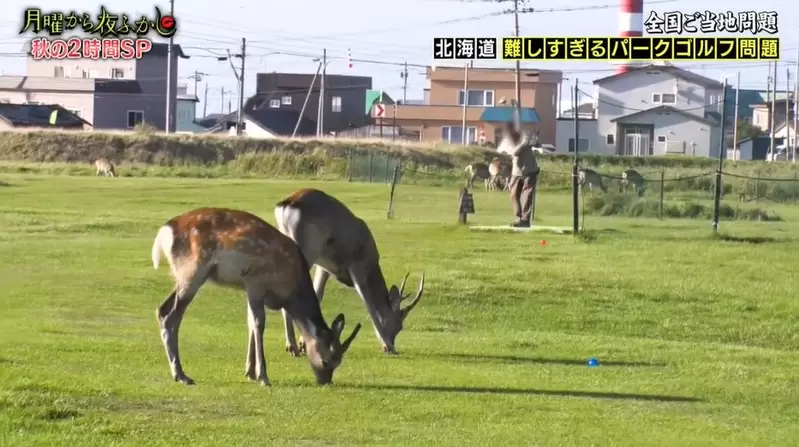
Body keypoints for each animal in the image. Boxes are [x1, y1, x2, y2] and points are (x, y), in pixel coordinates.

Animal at [150, 207, 362, 386]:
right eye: (327, 361)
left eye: (339, 362)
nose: (325, 381)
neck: (289, 289)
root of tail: (164, 232)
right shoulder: (255, 281)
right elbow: (259, 324)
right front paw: (263, 377)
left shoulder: (249, 288)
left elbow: (250, 323)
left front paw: (250, 372)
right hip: (193, 271)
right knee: (170, 314)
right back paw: (181, 375)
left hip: (184, 276)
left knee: (165, 311)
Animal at [274, 188, 424, 356]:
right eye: (399, 325)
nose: (392, 344)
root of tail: (287, 203)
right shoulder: (357, 267)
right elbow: (369, 304)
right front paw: (387, 345)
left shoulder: (324, 267)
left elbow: (318, 294)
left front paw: (304, 344)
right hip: (307, 249)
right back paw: (291, 346)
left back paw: (293, 346)